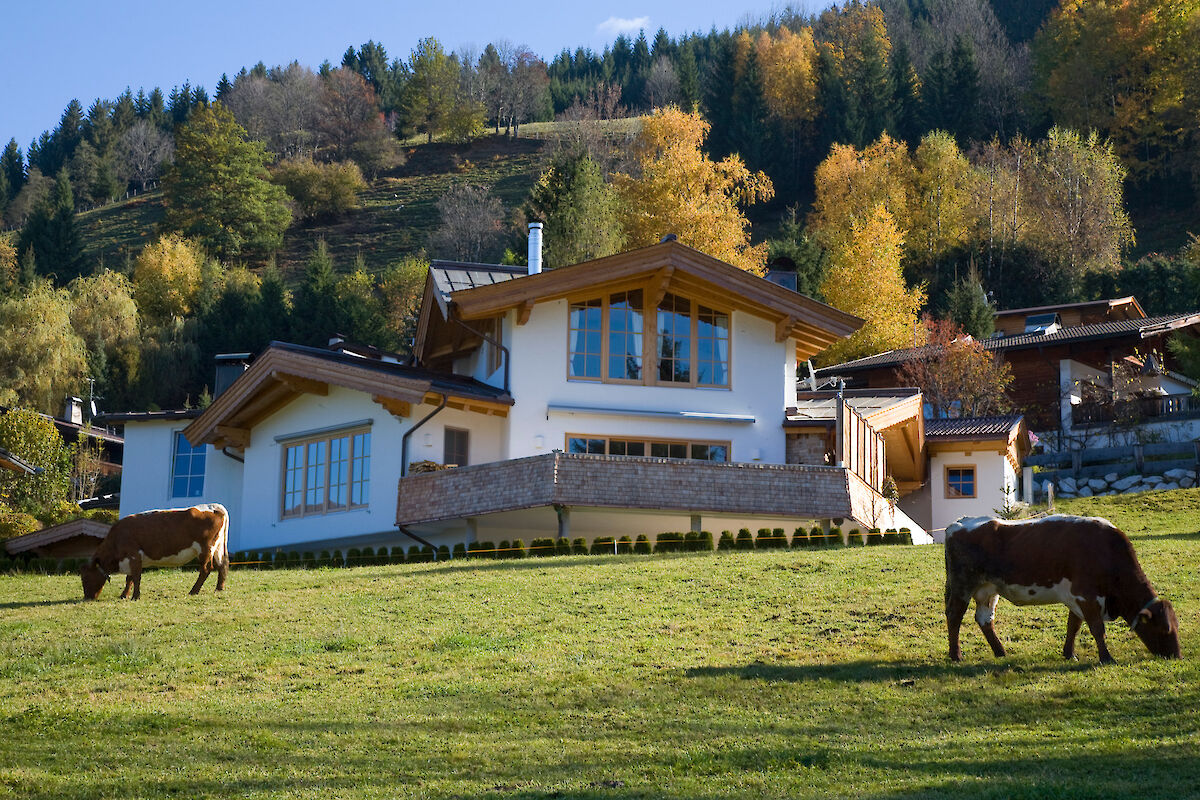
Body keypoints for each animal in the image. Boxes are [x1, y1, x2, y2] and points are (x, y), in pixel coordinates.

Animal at [81, 503, 229, 597]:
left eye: (86, 578)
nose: (87, 597)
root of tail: (215, 506)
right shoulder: (133, 559)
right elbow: (129, 578)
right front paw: (124, 595)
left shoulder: (133, 555)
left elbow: (135, 577)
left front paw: (135, 596)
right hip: (218, 547)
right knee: (222, 565)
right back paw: (218, 589)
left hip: (205, 548)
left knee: (206, 569)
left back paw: (193, 591)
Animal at [945, 515, 1180, 666]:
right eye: (1165, 629)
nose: (1177, 656)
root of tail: (960, 522)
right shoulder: (1085, 595)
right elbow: (1097, 628)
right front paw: (1106, 658)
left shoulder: (1076, 598)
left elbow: (1073, 626)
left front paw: (1069, 654)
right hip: (961, 585)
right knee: (954, 616)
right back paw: (956, 656)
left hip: (988, 590)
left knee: (985, 619)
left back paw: (1001, 652)